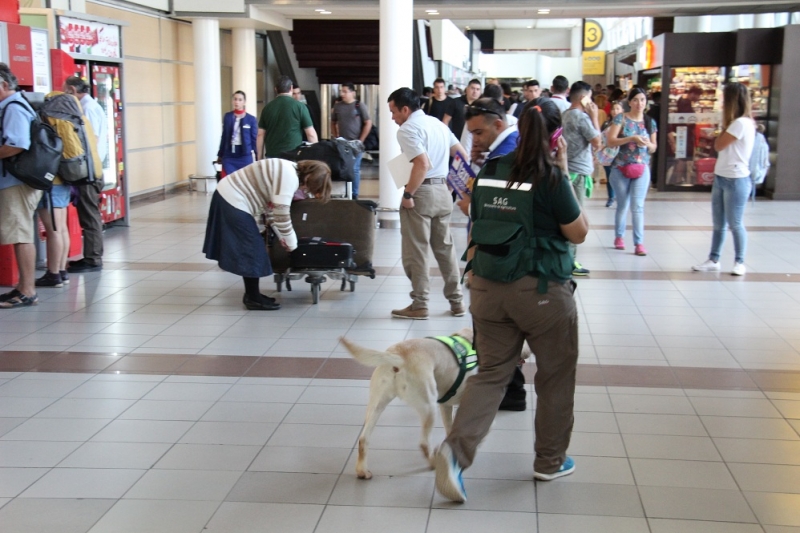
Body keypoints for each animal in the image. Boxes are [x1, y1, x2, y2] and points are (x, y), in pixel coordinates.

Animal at [340, 326, 528, 480]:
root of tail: (398, 355)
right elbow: (482, 430)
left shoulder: (446, 406)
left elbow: (452, 430)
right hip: (429, 407)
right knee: (423, 443)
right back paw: (433, 462)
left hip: (376, 405)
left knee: (363, 439)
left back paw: (362, 470)